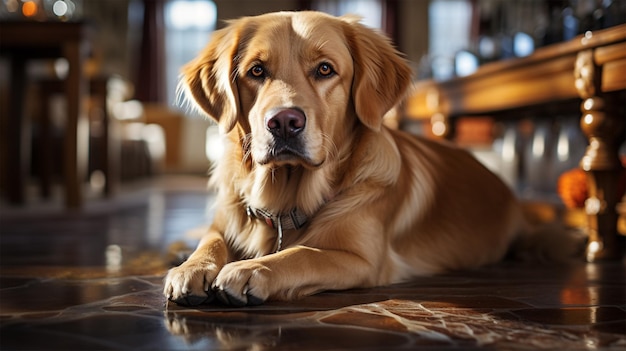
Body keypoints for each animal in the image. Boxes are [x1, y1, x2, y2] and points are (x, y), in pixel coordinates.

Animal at [162, 11, 576, 308]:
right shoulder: (227, 219)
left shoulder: (362, 260)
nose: (284, 122)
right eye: (256, 71)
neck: (288, 200)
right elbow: (212, 240)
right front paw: (192, 267)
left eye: (325, 69)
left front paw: (252, 268)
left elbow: (302, 254)